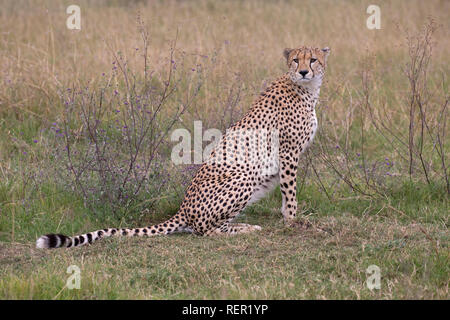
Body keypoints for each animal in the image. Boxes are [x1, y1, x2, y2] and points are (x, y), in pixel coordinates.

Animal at [36, 46, 330, 249]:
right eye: (296, 60)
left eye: (313, 59)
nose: (304, 71)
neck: (305, 88)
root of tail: (182, 208)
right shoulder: (288, 152)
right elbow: (290, 192)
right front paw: (293, 221)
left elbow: (286, 193)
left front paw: (289, 219)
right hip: (243, 177)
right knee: (203, 230)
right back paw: (245, 229)